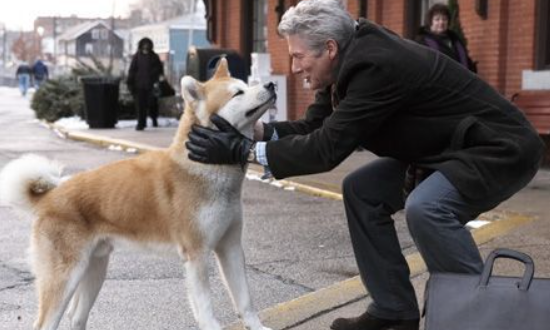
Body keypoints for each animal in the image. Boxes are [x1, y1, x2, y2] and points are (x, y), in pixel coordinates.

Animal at [0, 58, 276, 330]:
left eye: (246, 84)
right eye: (238, 93)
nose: (272, 84)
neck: (205, 166)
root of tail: (49, 197)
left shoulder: (230, 247)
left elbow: (245, 301)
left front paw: (259, 327)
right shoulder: (197, 253)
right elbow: (206, 309)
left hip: (95, 269)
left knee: (76, 317)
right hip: (65, 277)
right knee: (47, 323)